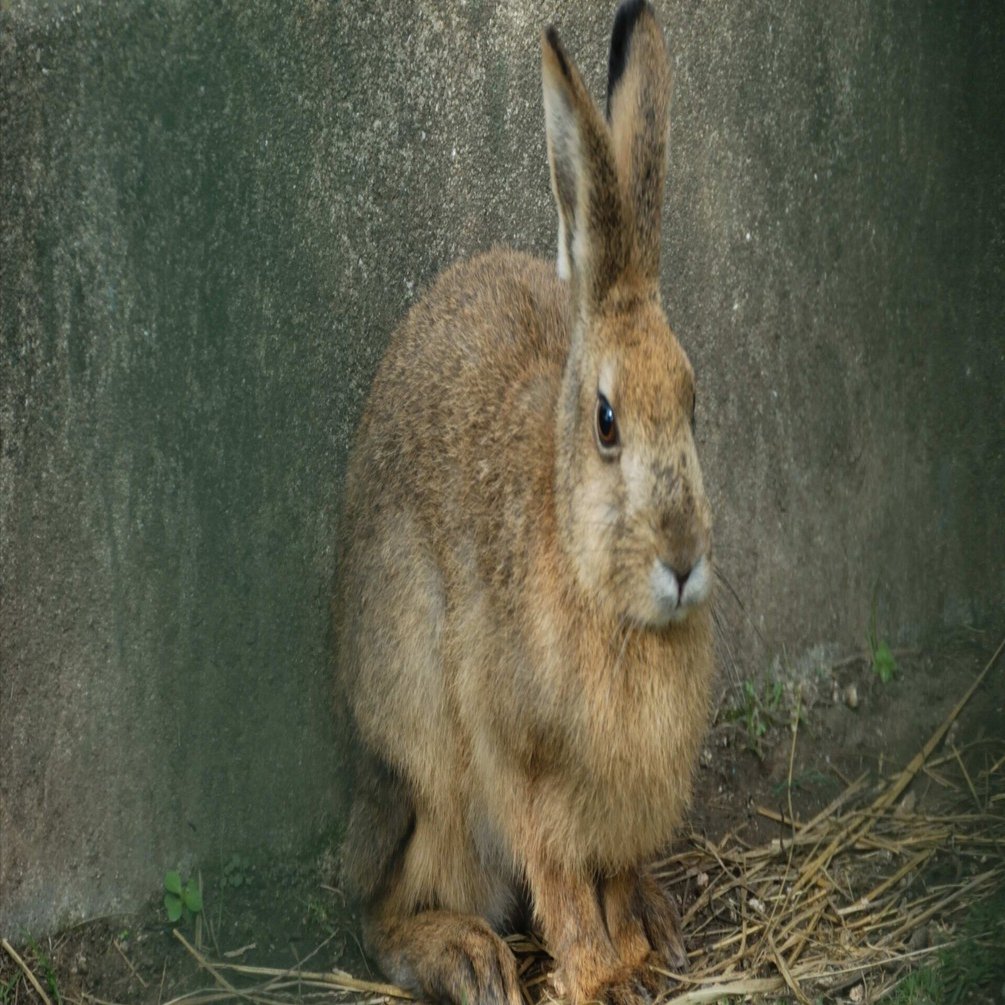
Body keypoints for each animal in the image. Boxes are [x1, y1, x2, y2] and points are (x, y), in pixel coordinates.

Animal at [334, 2, 715, 1002]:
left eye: (693, 401)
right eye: (606, 421)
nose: (682, 559)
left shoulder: (623, 801)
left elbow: (611, 874)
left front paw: (641, 945)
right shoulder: (524, 771)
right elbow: (562, 885)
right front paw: (602, 976)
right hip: (428, 764)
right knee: (379, 908)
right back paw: (465, 956)